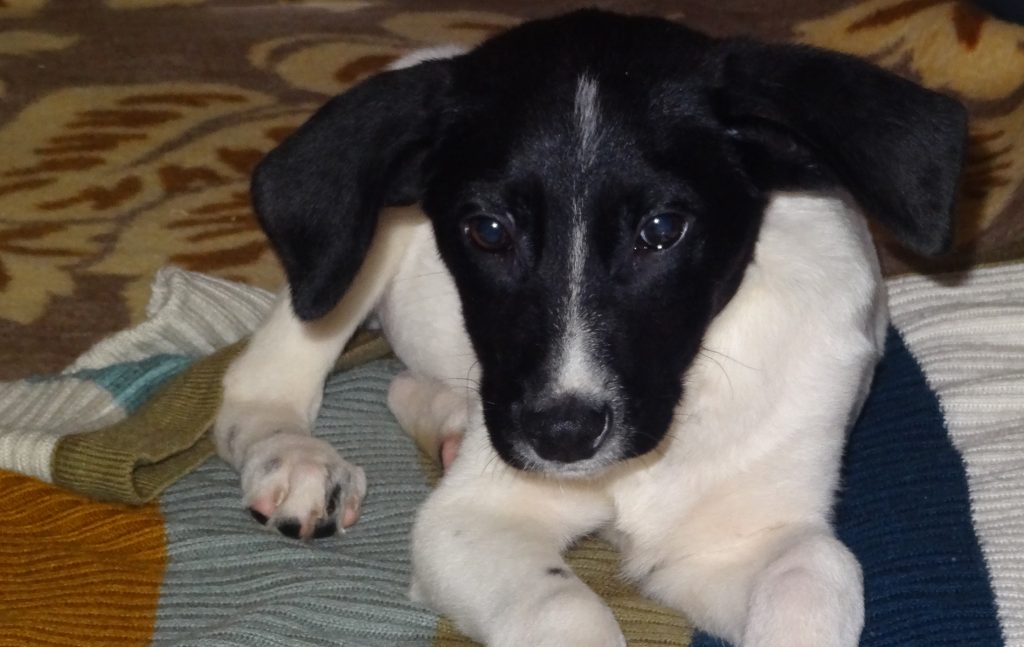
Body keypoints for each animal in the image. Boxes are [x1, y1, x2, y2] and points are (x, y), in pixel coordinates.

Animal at [213, 9, 966, 646]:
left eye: (662, 229)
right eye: (488, 230)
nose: (563, 434)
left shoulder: (725, 543)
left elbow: (817, 566)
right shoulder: (471, 520)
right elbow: (564, 608)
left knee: (400, 387)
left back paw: (446, 419)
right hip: (349, 258)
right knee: (261, 380)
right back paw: (296, 459)